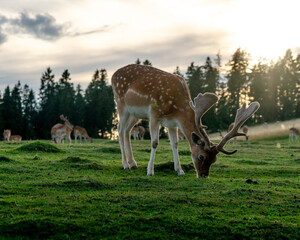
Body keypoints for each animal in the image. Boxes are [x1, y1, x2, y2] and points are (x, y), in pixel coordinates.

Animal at [112, 64, 260, 177]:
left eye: (214, 160)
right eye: (201, 157)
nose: (203, 175)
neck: (177, 108)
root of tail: (113, 75)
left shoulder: (172, 123)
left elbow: (175, 144)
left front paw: (180, 170)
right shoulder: (154, 114)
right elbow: (154, 143)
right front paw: (150, 171)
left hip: (134, 114)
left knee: (127, 131)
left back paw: (133, 163)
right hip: (121, 105)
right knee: (120, 130)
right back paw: (125, 165)